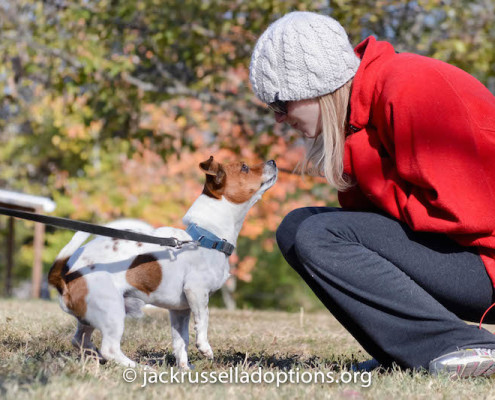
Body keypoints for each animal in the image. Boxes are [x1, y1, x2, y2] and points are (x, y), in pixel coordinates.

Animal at [48, 156, 278, 368]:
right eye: (244, 167)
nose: (273, 161)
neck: (206, 237)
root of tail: (64, 276)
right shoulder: (196, 292)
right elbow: (203, 320)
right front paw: (204, 348)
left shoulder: (179, 310)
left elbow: (181, 341)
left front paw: (184, 368)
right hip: (112, 311)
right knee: (110, 349)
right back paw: (139, 367)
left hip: (90, 317)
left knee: (79, 340)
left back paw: (95, 356)